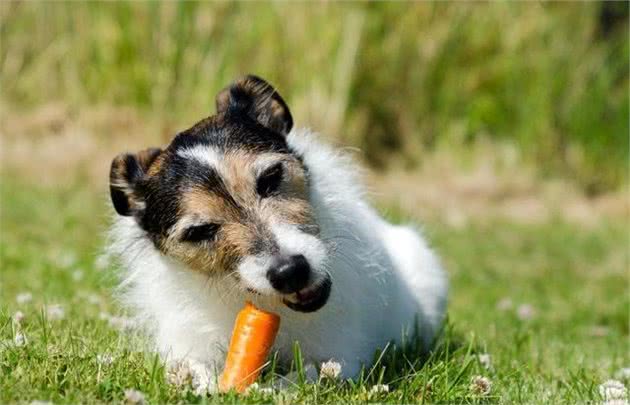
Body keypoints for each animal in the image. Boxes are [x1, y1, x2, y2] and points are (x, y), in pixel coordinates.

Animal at [107, 75, 450, 388]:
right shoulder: (187, 345)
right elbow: (191, 369)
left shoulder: (339, 356)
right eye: (199, 231)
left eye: (271, 177)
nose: (290, 272)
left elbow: (303, 377)